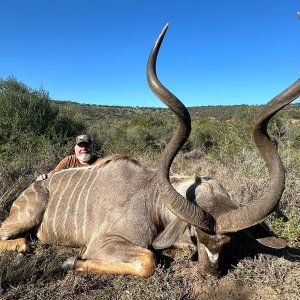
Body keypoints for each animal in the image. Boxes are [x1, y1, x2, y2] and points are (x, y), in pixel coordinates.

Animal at [0, 24, 300, 278]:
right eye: (196, 235)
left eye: (227, 242)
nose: (210, 272)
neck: (151, 198)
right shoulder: (104, 243)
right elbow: (148, 260)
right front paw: (72, 261)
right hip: (25, 217)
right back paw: (23, 247)